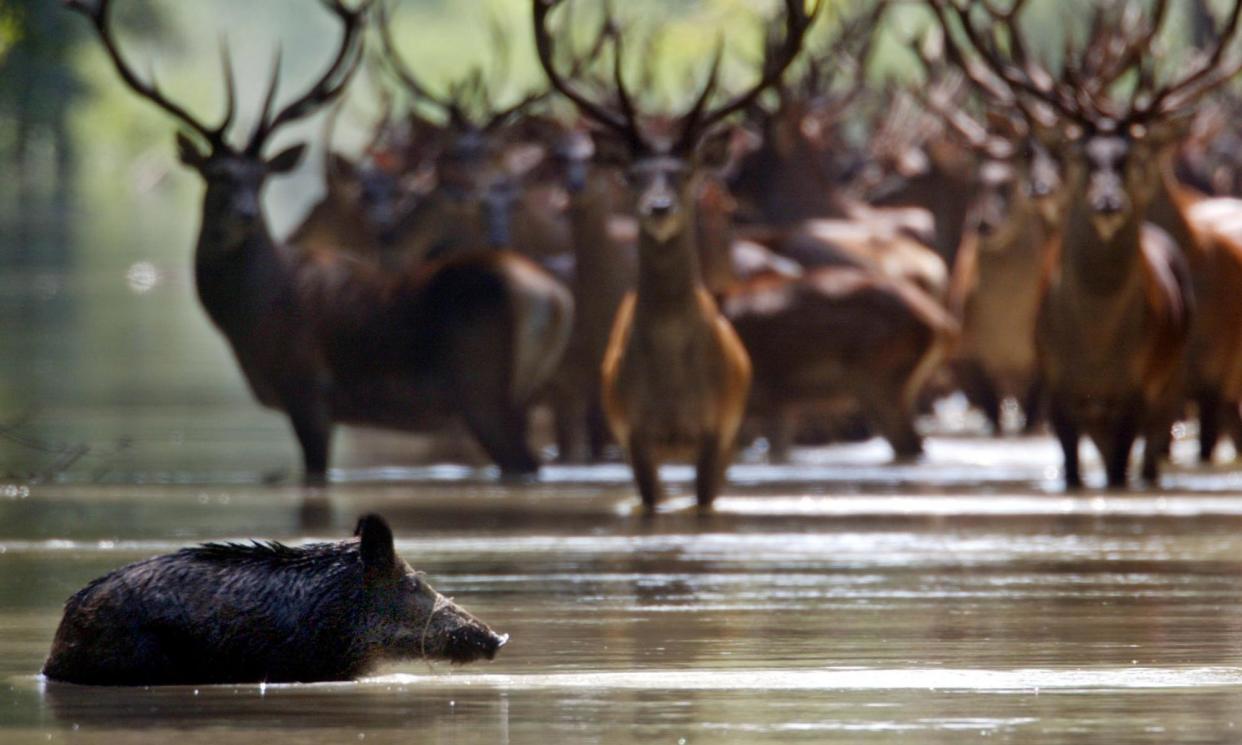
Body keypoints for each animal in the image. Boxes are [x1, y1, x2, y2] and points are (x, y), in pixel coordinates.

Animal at [77, 0, 576, 479]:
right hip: (525, 391)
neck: (255, 315)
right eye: (217, 175)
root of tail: (553, 299)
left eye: (259, 177)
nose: (244, 214)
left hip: (483, 391)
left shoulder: (307, 391)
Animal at [534, 0, 824, 506]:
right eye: (632, 175)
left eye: (686, 174)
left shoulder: (717, 431)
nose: (659, 207)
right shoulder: (632, 433)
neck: (672, 388)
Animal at [933, 0, 1232, 489]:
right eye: (1080, 157)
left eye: (1132, 157)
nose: (1108, 202)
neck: (1095, 344)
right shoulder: (1055, 388)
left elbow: (1119, 470)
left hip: (1176, 381)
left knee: (1156, 452)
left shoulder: (1135, 388)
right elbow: (1071, 467)